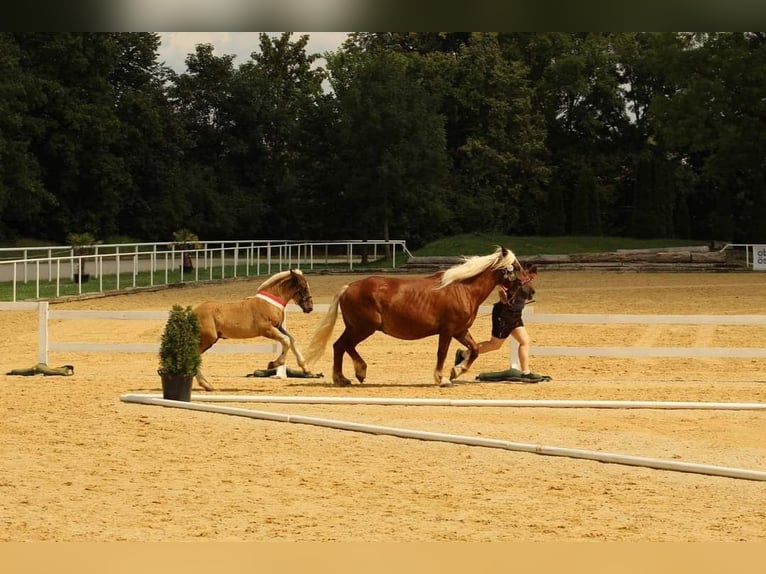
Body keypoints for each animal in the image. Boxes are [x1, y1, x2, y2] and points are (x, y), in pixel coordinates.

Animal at [304, 248, 524, 388]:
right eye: (517, 267)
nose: (528, 288)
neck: (463, 289)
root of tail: (348, 287)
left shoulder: (460, 331)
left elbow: (475, 349)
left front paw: (456, 371)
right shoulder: (447, 331)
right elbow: (442, 353)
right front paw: (441, 378)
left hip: (356, 327)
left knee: (340, 346)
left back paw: (343, 378)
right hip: (363, 328)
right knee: (344, 345)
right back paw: (358, 372)